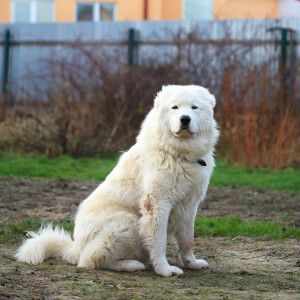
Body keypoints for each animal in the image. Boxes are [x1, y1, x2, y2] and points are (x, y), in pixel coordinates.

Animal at [15, 84, 218, 276]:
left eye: (194, 107)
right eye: (175, 107)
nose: (185, 119)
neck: (179, 154)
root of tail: (75, 247)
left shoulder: (189, 205)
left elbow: (187, 240)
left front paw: (192, 263)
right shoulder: (158, 204)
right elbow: (159, 242)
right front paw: (165, 270)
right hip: (126, 223)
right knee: (90, 259)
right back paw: (131, 265)